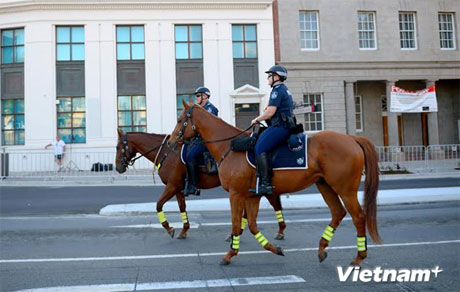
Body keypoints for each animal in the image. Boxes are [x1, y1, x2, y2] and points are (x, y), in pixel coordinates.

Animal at [114, 130, 288, 240]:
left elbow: (158, 205)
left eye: (117, 147)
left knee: (274, 202)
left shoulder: (172, 185)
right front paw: (184, 230)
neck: (167, 152)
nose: (117, 168)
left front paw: (169, 228)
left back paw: (280, 230)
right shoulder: (178, 188)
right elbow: (182, 208)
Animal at [169, 102, 380, 266]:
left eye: (180, 119)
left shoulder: (236, 194)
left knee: (358, 217)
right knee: (338, 213)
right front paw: (273, 249)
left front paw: (229, 254)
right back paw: (321, 249)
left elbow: (237, 224)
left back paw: (359, 257)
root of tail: (352, 138)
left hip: (345, 190)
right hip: (325, 186)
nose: (171, 142)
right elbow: (252, 225)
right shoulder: (252, 195)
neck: (230, 147)